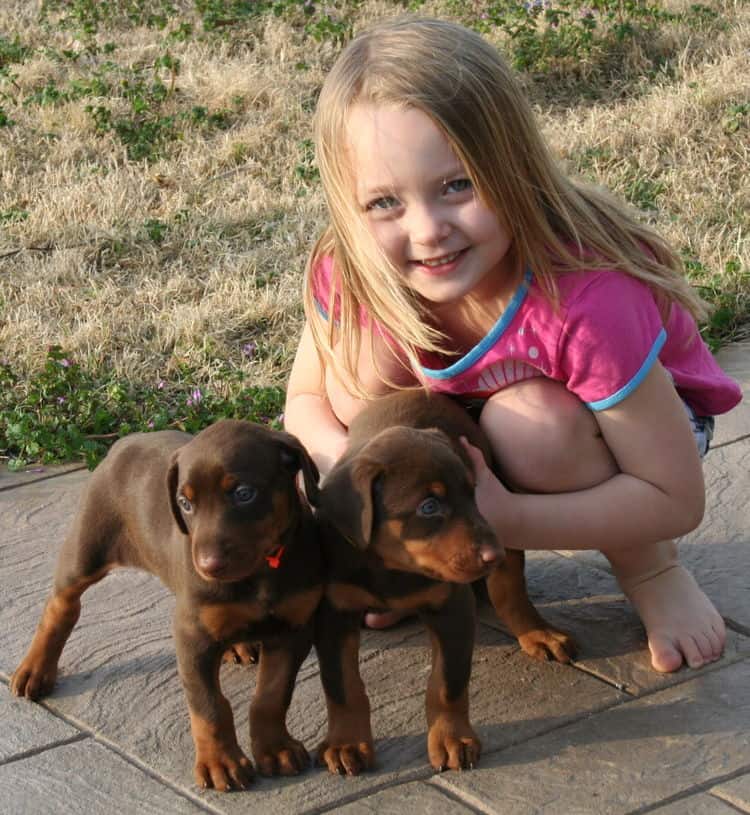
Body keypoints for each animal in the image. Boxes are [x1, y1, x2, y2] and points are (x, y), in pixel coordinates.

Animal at [11, 420, 324, 792]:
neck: (261, 572)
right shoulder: (192, 635)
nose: (207, 567)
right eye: (185, 503)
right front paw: (220, 762)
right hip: (86, 549)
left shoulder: (293, 630)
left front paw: (275, 749)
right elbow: (209, 705)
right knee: (61, 606)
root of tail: (124, 442)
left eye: (244, 493)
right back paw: (35, 669)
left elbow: (272, 696)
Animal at [314, 392, 572, 776]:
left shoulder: (453, 608)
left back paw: (537, 631)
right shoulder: (334, 616)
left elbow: (447, 683)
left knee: (510, 590)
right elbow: (342, 686)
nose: (492, 554)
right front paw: (346, 743)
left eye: (473, 493)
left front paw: (451, 739)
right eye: (429, 506)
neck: (391, 568)